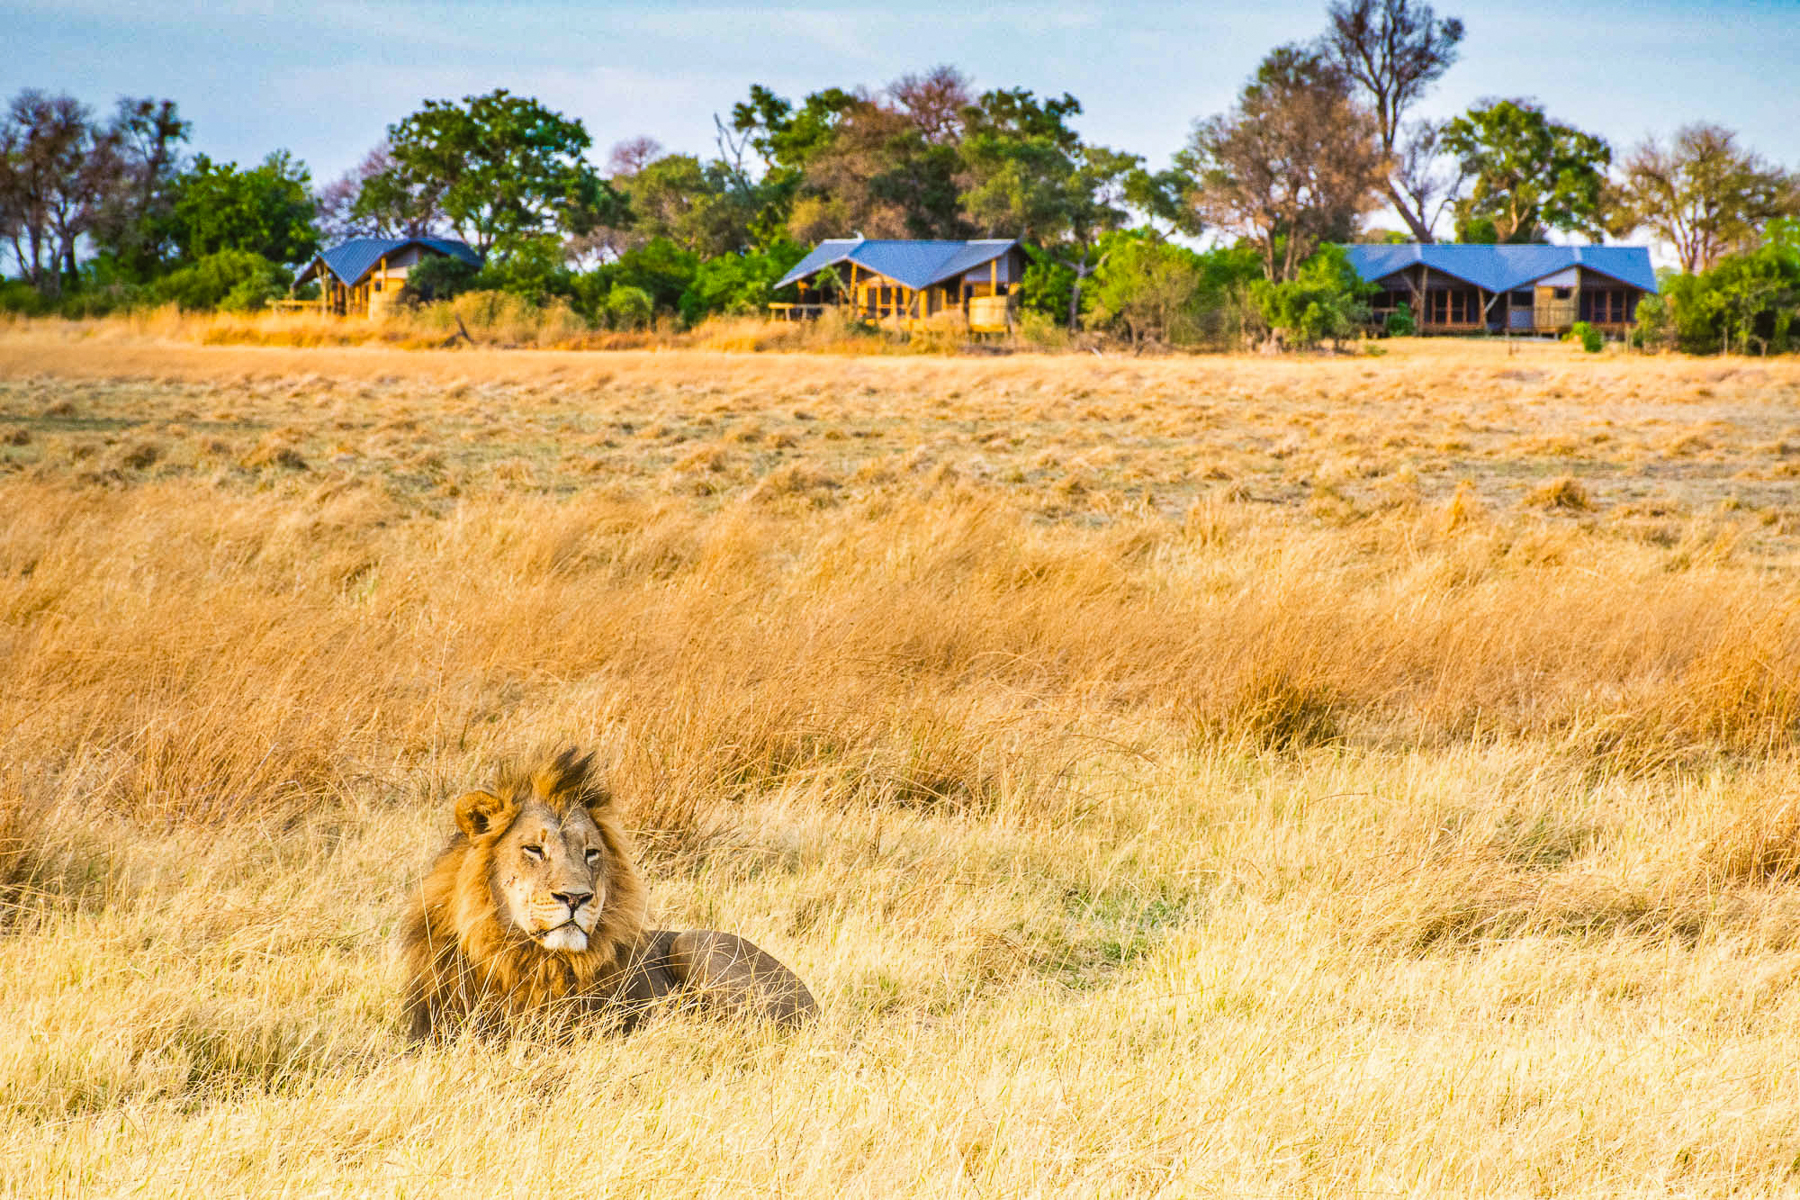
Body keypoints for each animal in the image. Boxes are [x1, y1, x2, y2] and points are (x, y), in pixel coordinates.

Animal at [400, 748, 816, 1039]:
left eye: (591, 852)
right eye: (534, 849)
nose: (575, 898)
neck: (528, 959)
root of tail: (815, 1004)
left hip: (695, 943)